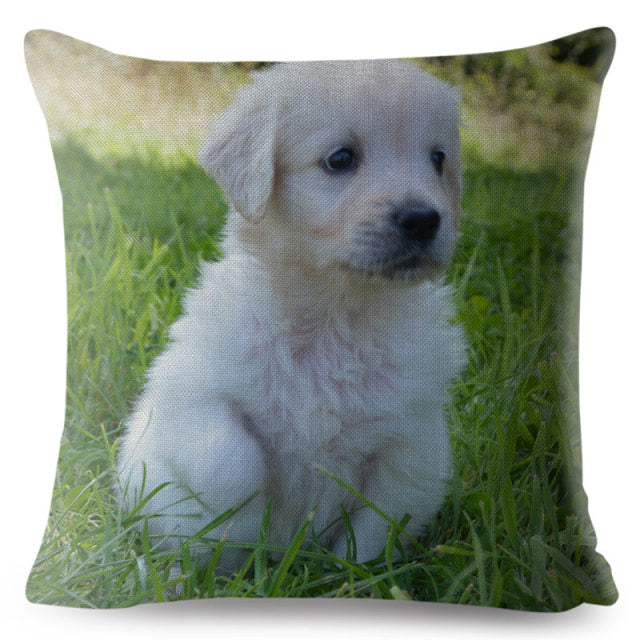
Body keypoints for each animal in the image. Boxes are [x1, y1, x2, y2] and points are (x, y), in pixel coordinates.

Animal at [117, 59, 466, 571]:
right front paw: (240, 527)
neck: (333, 315)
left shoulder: (414, 440)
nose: (423, 220)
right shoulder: (190, 391)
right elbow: (232, 458)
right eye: (340, 159)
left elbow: (381, 522)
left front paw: (354, 574)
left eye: (438, 159)